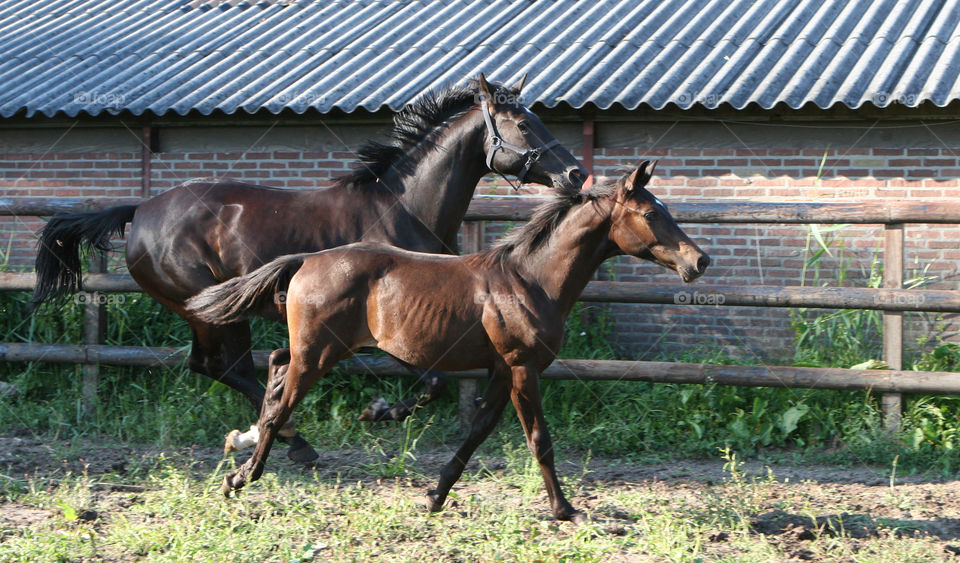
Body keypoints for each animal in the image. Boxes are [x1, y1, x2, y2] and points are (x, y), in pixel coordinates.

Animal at [31, 75, 586, 463]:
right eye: (524, 125)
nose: (576, 173)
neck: (403, 208)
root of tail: (140, 211)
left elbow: (440, 382)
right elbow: (432, 381)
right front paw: (379, 412)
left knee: (214, 366)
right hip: (209, 307)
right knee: (226, 367)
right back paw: (295, 443)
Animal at [185, 161, 709, 522]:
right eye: (650, 212)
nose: (699, 261)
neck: (530, 279)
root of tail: (306, 259)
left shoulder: (503, 370)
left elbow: (477, 430)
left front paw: (435, 494)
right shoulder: (523, 367)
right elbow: (539, 440)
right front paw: (567, 511)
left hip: (315, 349)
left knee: (274, 366)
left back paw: (245, 448)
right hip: (318, 354)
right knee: (280, 401)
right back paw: (241, 476)